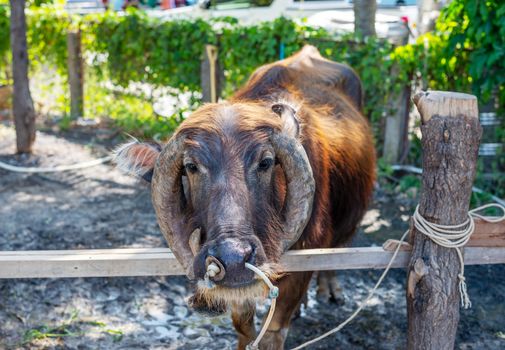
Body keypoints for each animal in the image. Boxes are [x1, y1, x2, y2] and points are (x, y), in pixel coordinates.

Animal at [114, 45, 374, 348]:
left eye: (266, 162)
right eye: (191, 166)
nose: (232, 258)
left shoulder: (307, 253)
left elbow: (274, 331)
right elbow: (243, 326)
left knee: (339, 247)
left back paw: (330, 289)